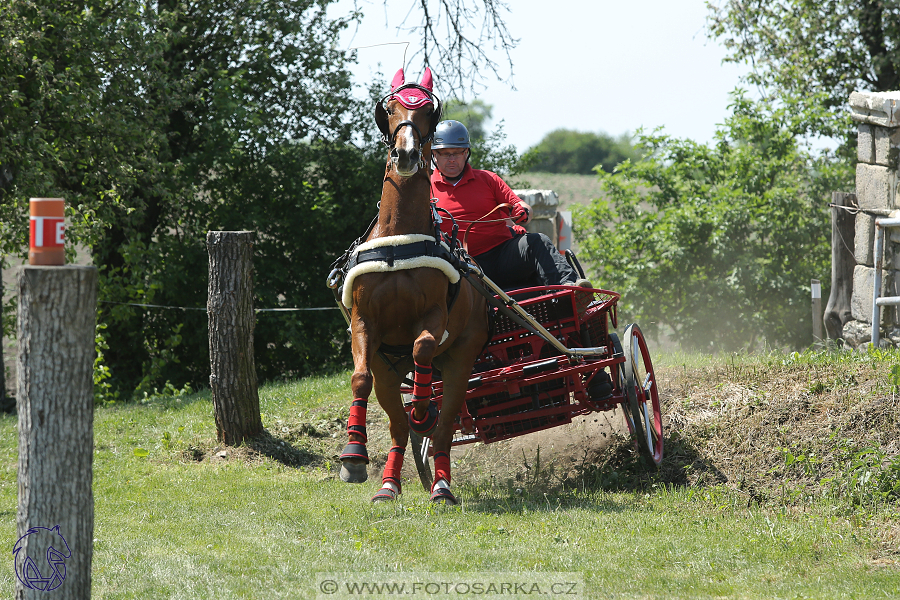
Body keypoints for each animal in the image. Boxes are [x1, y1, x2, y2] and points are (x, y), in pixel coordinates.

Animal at [338, 68, 488, 504]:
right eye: (390, 108)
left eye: (428, 113)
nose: (405, 154)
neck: (397, 241)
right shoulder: (363, 324)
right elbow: (359, 378)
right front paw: (352, 455)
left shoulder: (435, 316)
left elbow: (422, 345)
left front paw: (423, 408)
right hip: (390, 368)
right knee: (398, 426)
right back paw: (388, 485)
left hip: (460, 360)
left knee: (443, 425)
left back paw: (441, 483)